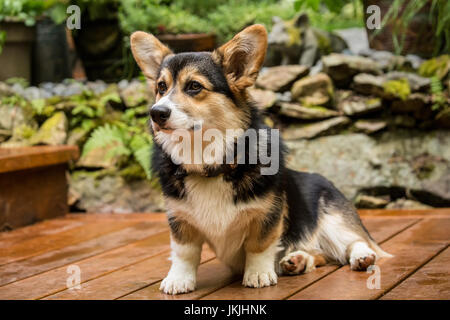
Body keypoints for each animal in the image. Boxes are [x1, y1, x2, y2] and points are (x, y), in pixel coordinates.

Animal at [130, 25, 390, 296]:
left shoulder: (267, 216)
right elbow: (184, 252)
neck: (209, 162)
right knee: (320, 255)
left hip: (334, 219)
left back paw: (361, 257)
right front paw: (179, 279)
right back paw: (297, 260)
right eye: (161, 87)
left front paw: (258, 274)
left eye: (193, 86)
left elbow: (259, 246)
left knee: (354, 242)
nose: (156, 113)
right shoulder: (180, 220)